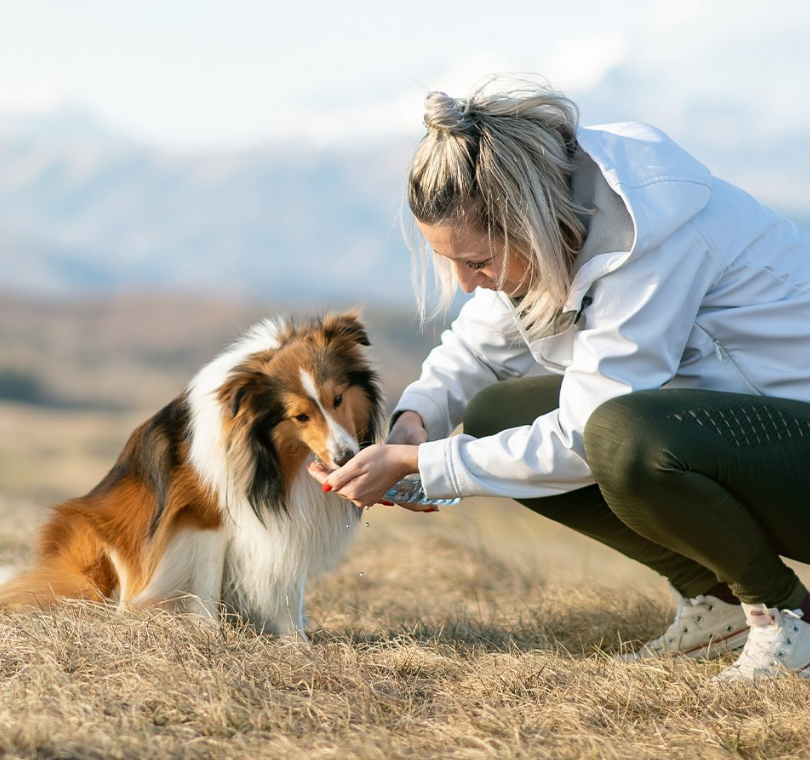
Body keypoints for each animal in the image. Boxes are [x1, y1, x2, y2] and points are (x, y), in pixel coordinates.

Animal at [0, 312, 382, 640]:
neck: (268, 457)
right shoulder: (205, 518)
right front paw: (211, 635)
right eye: (300, 416)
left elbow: (290, 590)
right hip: (94, 533)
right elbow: (207, 587)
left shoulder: (291, 520)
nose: (347, 457)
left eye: (337, 398)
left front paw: (297, 644)